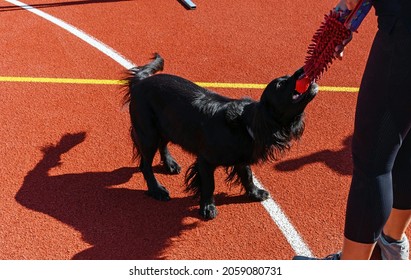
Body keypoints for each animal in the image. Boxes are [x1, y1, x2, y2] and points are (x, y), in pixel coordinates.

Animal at [122, 53, 318, 219]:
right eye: (280, 85)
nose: (303, 70)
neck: (245, 123)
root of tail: (140, 82)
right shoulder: (205, 161)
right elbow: (209, 185)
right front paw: (207, 207)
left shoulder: (241, 159)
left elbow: (247, 175)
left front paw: (255, 193)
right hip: (148, 134)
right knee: (145, 165)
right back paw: (157, 190)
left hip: (167, 127)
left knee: (163, 145)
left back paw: (170, 164)